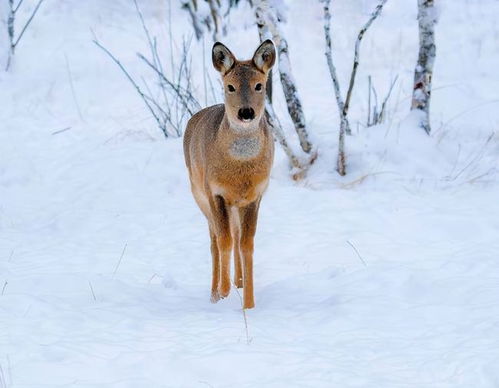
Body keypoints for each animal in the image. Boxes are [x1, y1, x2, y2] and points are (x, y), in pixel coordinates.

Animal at [185, 41, 278, 310]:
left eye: (259, 85)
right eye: (230, 86)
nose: (246, 112)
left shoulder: (255, 196)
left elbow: (246, 244)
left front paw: (249, 303)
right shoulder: (215, 193)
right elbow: (223, 241)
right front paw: (223, 293)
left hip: (234, 205)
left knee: (235, 236)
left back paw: (238, 282)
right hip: (199, 195)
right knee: (215, 240)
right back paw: (215, 292)